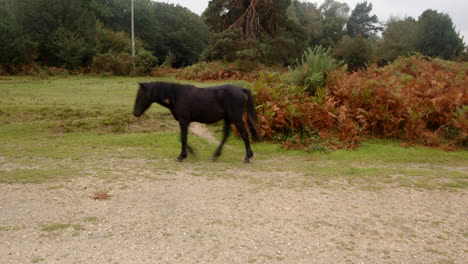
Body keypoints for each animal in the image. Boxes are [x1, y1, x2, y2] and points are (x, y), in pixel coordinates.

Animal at [133, 81, 262, 163]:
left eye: (140, 95)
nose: (135, 113)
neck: (176, 96)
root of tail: (240, 89)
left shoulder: (183, 121)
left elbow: (183, 138)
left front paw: (181, 156)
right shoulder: (186, 122)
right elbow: (182, 138)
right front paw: (191, 153)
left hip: (236, 119)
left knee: (244, 134)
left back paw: (247, 157)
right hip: (228, 119)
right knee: (226, 135)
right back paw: (215, 155)